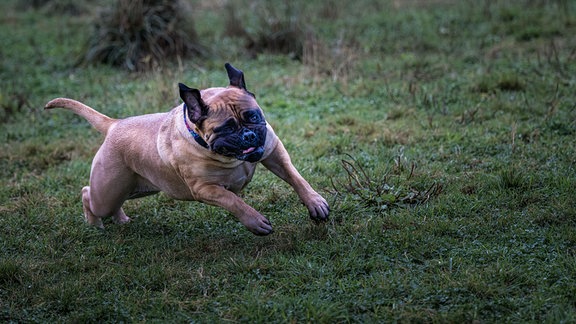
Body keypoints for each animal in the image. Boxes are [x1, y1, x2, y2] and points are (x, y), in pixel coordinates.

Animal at [44, 63, 328, 235]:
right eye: (225, 129)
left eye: (254, 117)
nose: (248, 135)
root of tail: (114, 124)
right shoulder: (206, 189)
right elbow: (234, 201)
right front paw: (256, 221)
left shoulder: (273, 152)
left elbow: (296, 178)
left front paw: (315, 203)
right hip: (107, 190)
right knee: (88, 195)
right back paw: (95, 224)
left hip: (136, 187)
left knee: (114, 202)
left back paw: (121, 220)